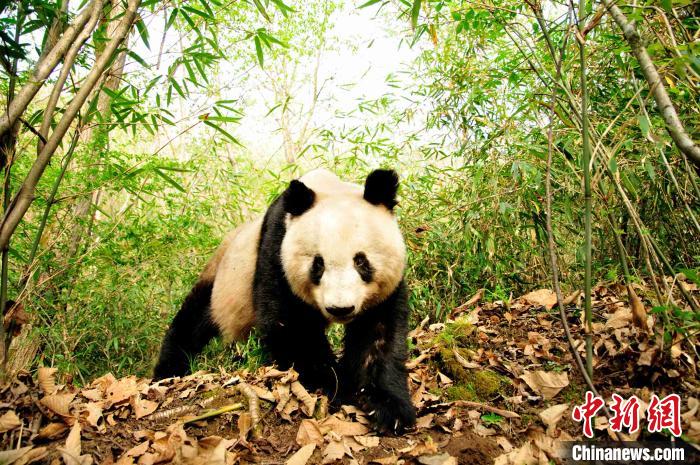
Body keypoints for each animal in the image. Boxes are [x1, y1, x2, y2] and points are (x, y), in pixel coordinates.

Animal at [154, 169, 416, 434]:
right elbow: (290, 328)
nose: (340, 309)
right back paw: (167, 373)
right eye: (318, 263)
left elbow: (378, 333)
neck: (327, 187)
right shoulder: (276, 247)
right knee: (193, 321)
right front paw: (337, 386)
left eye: (361, 261)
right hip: (220, 280)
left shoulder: (384, 289)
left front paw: (389, 408)